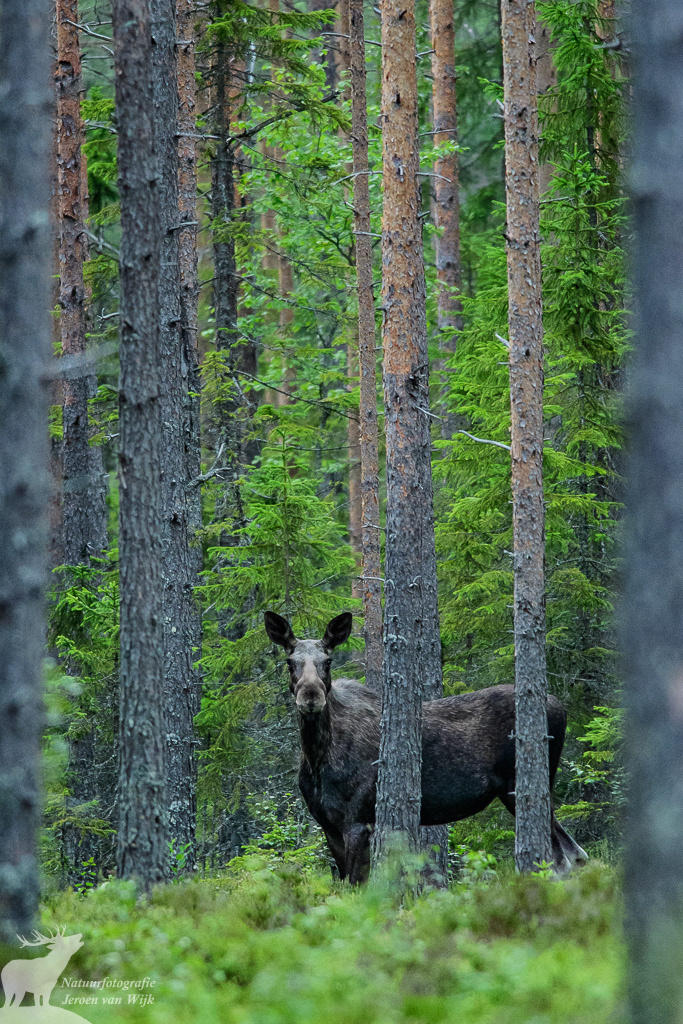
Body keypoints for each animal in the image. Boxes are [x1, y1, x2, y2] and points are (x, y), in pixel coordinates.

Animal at [265, 610, 588, 884]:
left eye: (328, 661)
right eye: (289, 663)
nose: (310, 696)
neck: (317, 758)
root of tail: (561, 707)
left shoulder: (357, 821)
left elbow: (356, 886)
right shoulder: (328, 824)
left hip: (517, 786)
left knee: (562, 860)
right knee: (577, 854)